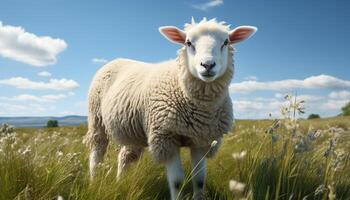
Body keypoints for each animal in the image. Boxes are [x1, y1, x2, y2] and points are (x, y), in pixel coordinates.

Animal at [87, 17, 258, 200]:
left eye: (226, 42)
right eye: (188, 42)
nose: (207, 65)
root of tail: (116, 59)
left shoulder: (202, 139)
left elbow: (199, 180)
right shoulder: (166, 138)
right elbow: (177, 182)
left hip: (133, 129)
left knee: (125, 156)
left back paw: (120, 182)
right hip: (96, 118)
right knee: (97, 151)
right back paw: (94, 180)